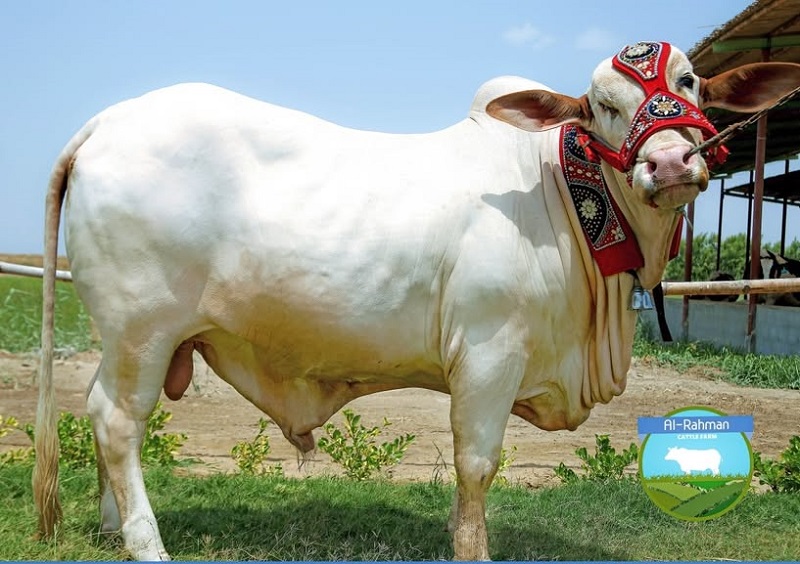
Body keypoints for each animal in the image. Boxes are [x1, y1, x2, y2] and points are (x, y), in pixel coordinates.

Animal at [33, 42, 800, 560]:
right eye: (604, 106)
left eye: (688, 80)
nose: (669, 163)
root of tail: (107, 123)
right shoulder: (489, 355)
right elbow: (477, 466)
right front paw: (472, 548)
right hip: (142, 327)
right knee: (118, 422)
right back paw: (145, 541)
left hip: (128, 339)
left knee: (102, 413)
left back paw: (110, 525)